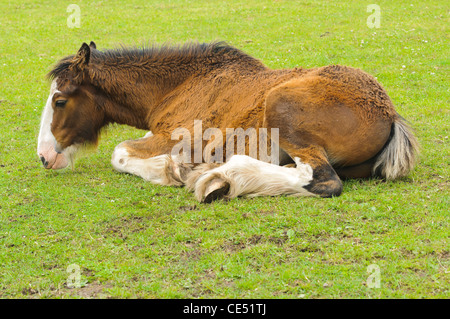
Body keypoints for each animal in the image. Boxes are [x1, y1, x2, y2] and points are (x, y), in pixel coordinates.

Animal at [37, 41, 420, 202]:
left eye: (60, 100)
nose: (44, 156)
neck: (181, 84)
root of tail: (389, 114)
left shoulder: (175, 138)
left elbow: (119, 153)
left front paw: (170, 170)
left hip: (280, 106)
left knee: (322, 180)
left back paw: (220, 179)